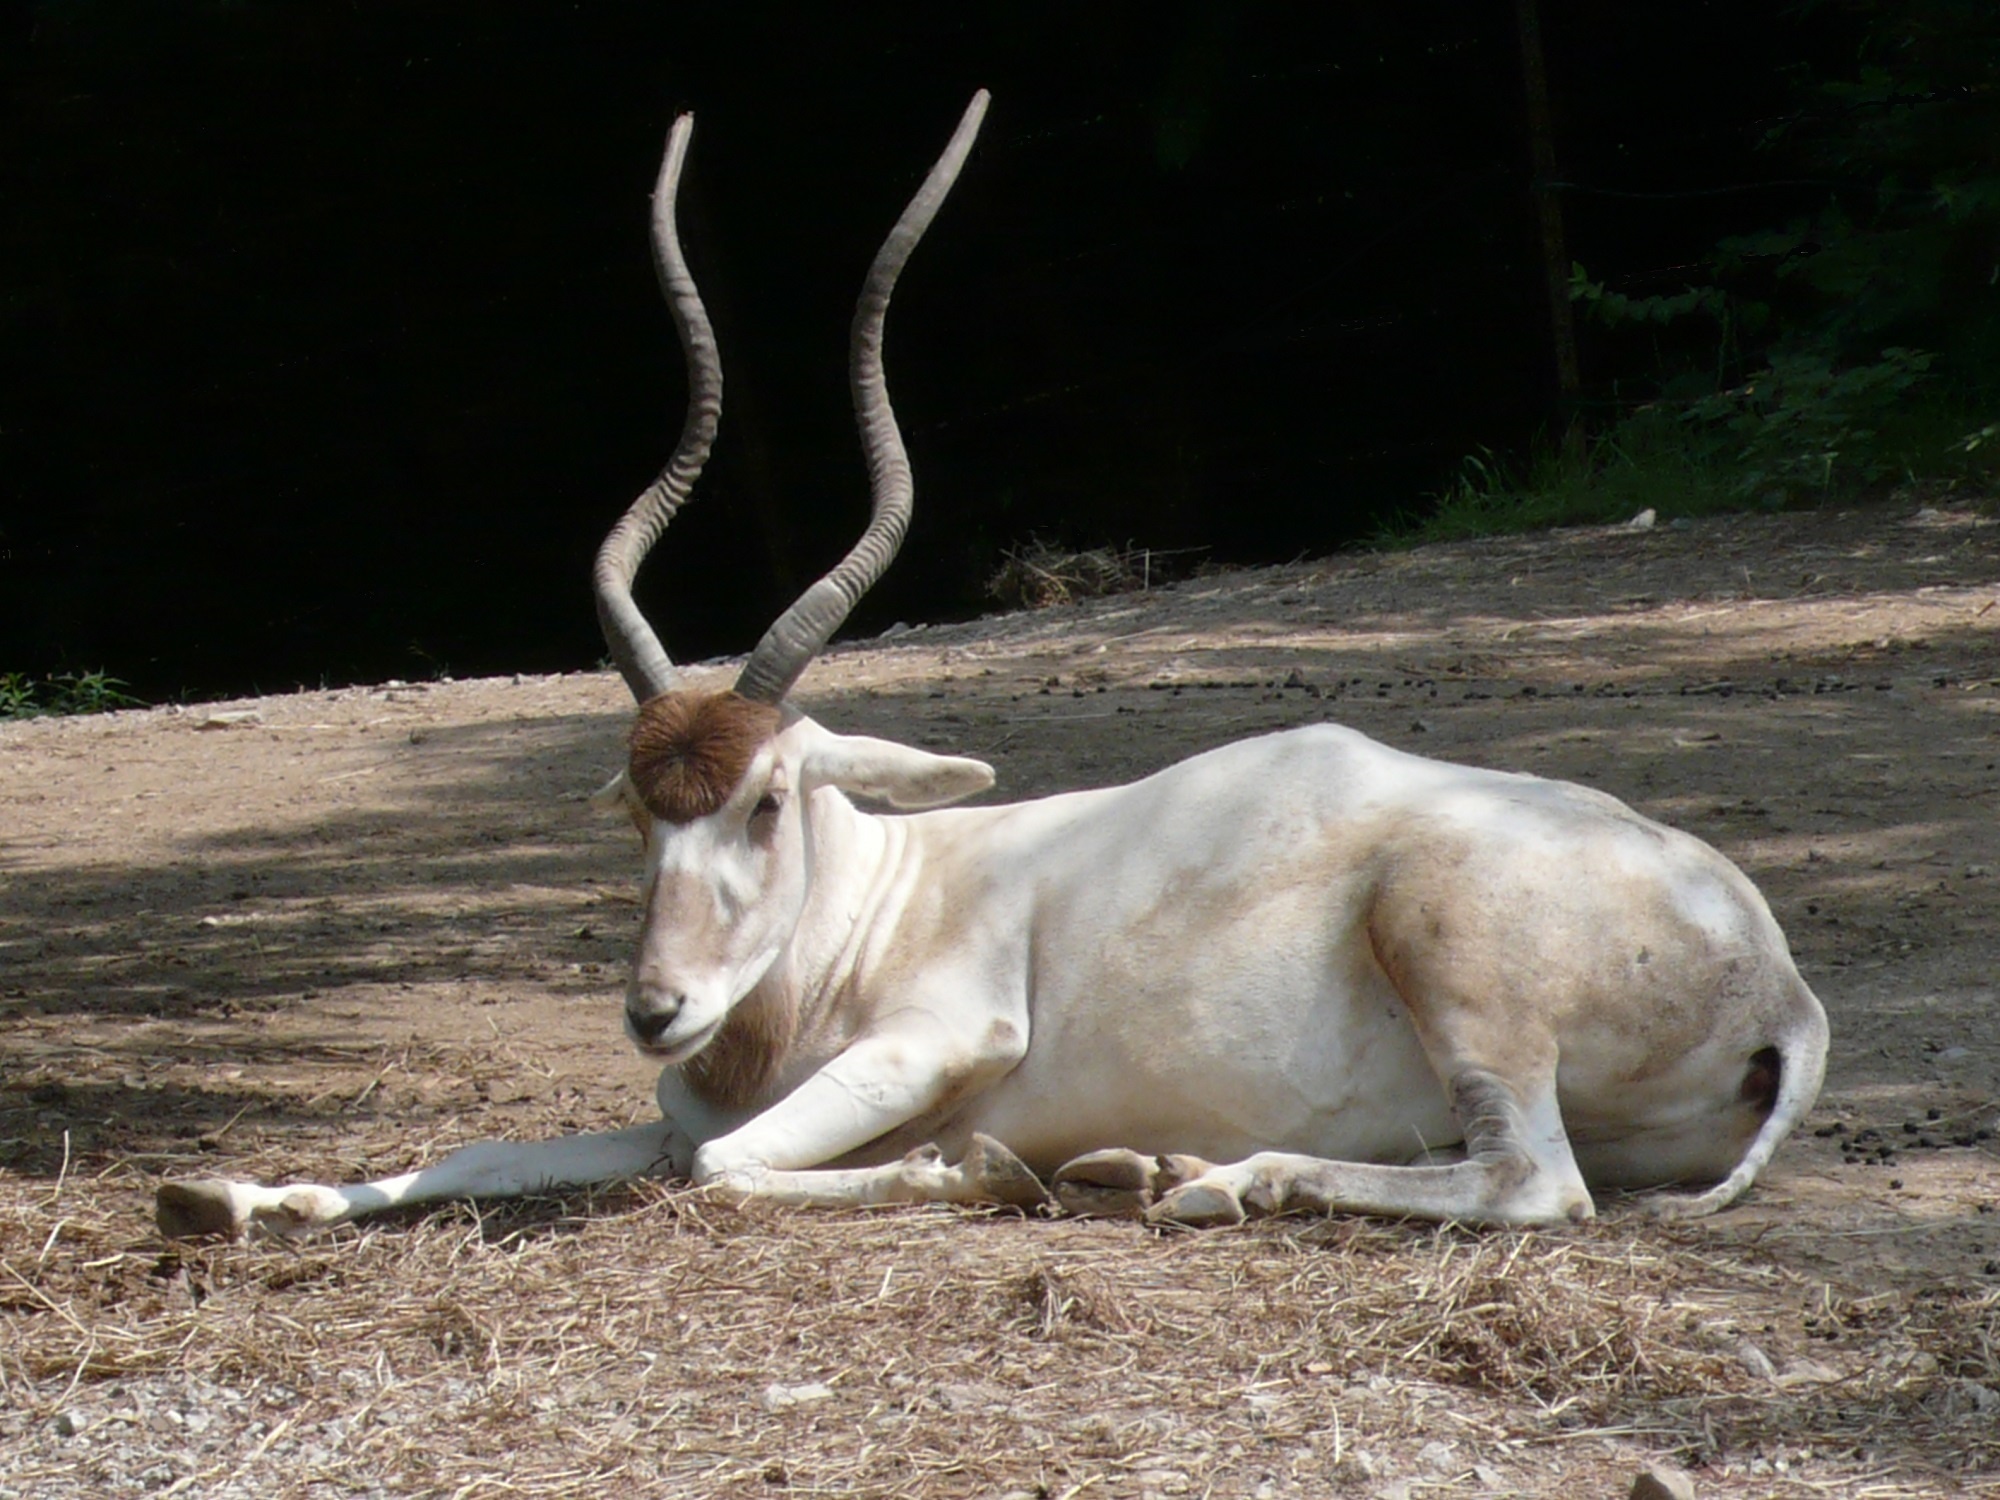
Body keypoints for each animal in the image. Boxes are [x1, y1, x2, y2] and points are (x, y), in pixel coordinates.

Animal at [160, 94, 1832, 1248]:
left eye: (767, 800)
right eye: (639, 810)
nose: (654, 1010)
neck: (869, 903)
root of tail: (1780, 979)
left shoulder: (946, 1038)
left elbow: (725, 1167)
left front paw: (968, 1164)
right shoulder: (669, 1106)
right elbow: (503, 1152)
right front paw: (238, 1198)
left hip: (1452, 955)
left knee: (1536, 1184)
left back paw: (1194, 1182)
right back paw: (1138, 1164)